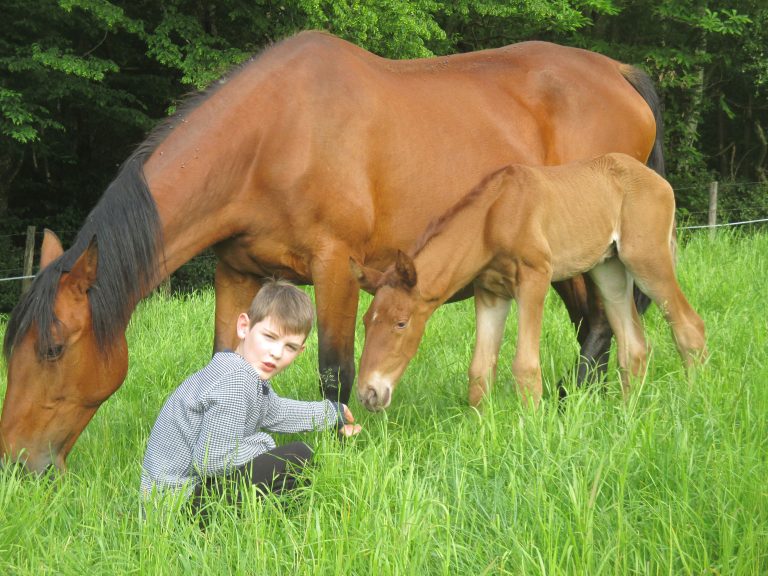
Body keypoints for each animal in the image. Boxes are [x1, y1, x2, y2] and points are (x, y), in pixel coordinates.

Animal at [2, 30, 664, 473]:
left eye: (53, 348)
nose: (14, 462)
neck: (271, 138)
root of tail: (619, 72)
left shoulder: (336, 268)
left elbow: (334, 372)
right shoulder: (236, 272)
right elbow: (227, 361)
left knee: (597, 326)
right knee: (592, 324)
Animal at [351, 153, 707, 411]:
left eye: (401, 323)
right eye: (366, 321)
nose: (368, 393)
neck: (494, 216)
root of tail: (660, 182)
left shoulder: (535, 279)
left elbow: (525, 367)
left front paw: (531, 431)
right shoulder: (491, 293)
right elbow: (479, 371)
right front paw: (482, 431)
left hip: (647, 259)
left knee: (689, 327)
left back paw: (695, 402)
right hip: (610, 271)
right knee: (634, 347)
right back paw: (627, 411)